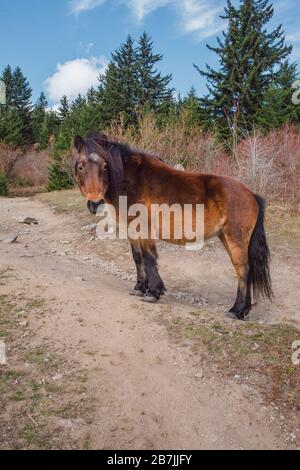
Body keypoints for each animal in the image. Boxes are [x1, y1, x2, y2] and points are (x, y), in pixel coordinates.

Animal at [74, 134, 274, 322]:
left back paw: (236, 310)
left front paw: (153, 293)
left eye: (105, 166)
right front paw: (140, 288)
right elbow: (137, 258)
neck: (130, 179)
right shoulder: (132, 231)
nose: (95, 203)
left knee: (243, 270)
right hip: (225, 237)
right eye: (81, 167)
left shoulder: (144, 230)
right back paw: (243, 311)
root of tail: (251, 194)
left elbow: (149, 258)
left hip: (235, 239)